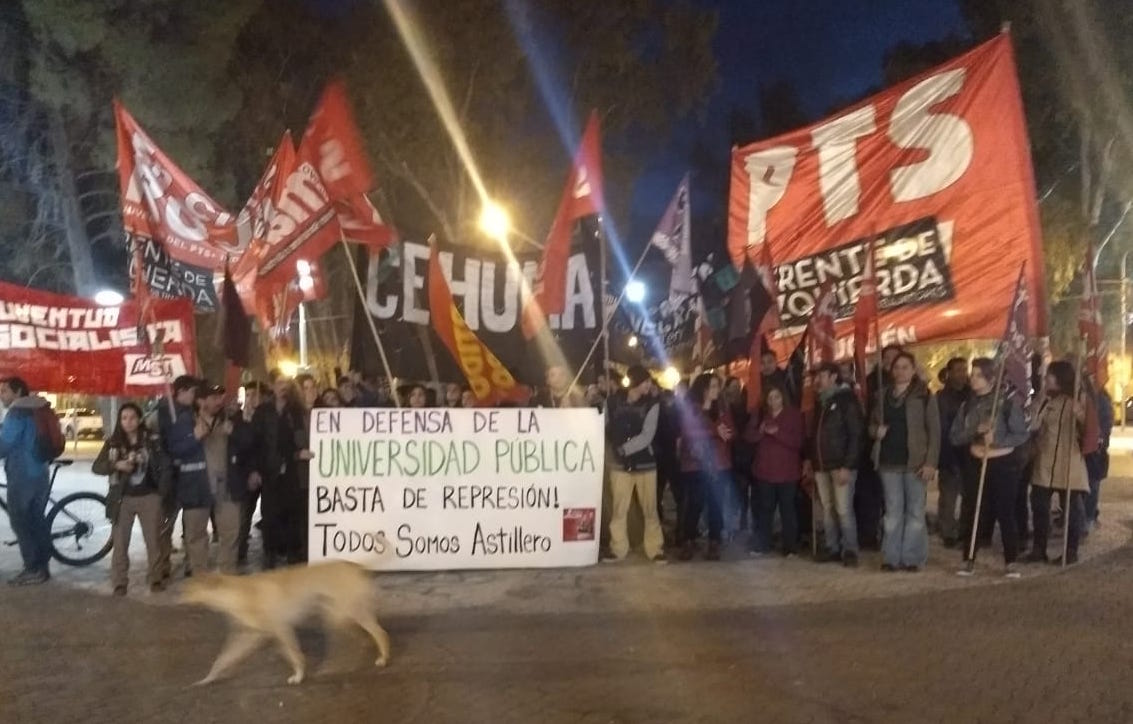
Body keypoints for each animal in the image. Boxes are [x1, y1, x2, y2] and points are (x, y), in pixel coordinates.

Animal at [179, 557, 387, 688]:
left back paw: (377, 658)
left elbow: (295, 655)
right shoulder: (249, 636)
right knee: (361, 636)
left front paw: (298, 676)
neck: (236, 595)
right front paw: (207, 679)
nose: (177, 598)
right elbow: (223, 659)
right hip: (338, 615)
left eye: (189, 590)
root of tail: (357, 566)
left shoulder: (281, 628)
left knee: (379, 633)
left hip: (344, 614)